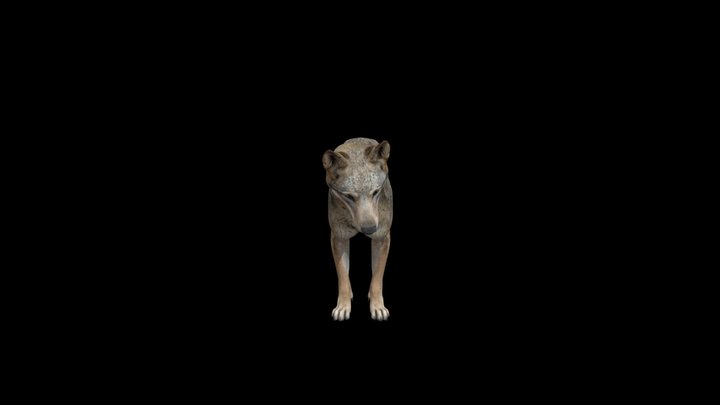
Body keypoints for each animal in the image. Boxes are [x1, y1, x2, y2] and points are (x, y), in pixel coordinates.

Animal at [322, 138, 393, 321]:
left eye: (375, 192)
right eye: (348, 196)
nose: (369, 229)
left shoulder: (382, 238)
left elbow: (377, 279)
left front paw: (378, 307)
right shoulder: (338, 238)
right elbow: (343, 277)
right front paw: (343, 306)